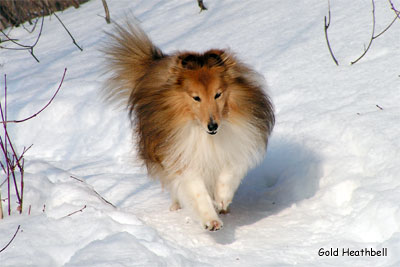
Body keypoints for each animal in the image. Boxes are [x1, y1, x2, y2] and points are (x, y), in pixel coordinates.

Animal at [102, 22, 276, 231]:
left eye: (218, 94)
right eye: (196, 97)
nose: (213, 126)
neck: (206, 135)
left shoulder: (238, 144)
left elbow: (229, 172)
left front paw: (222, 199)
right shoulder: (184, 158)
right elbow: (198, 192)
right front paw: (211, 221)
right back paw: (177, 206)